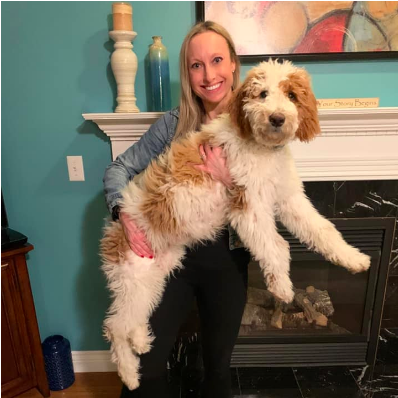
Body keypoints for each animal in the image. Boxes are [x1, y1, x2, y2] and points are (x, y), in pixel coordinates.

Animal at [101, 60, 372, 390]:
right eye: (262, 93)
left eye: (292, 95)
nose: (277, 118)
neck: (262, 148)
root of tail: (115, 228)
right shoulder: (249, 206)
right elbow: (275, 246)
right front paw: (282, 288)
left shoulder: (290, 199)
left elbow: (322, 229)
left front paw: (354, 259)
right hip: (134, 275)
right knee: (114, 325)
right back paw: (129, 374)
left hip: (153, 277)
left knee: (132, 317)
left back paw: (140, 341)